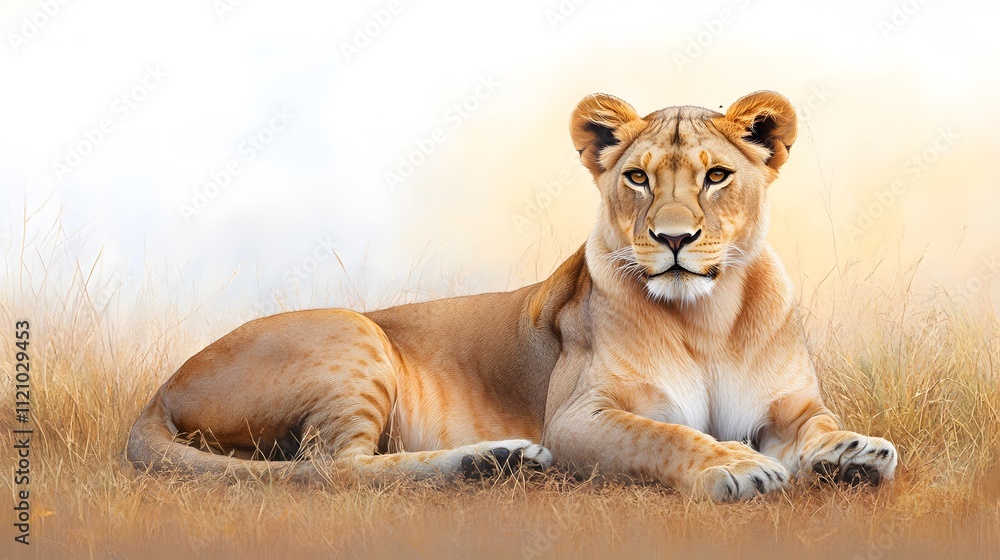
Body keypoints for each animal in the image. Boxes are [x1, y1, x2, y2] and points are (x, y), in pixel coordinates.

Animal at [127, 90, 898, 501]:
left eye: (716, 176)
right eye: (638, 178)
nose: (674, 239)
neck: (709, 315)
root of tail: (158, 390)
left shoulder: (788, 407)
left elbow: (818, 426)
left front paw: (856, 452)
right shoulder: (579, 419)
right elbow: (668, 434)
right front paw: (734, 465)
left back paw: (493, 462)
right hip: (354, 336)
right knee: (332, 469)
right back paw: (486, 462)